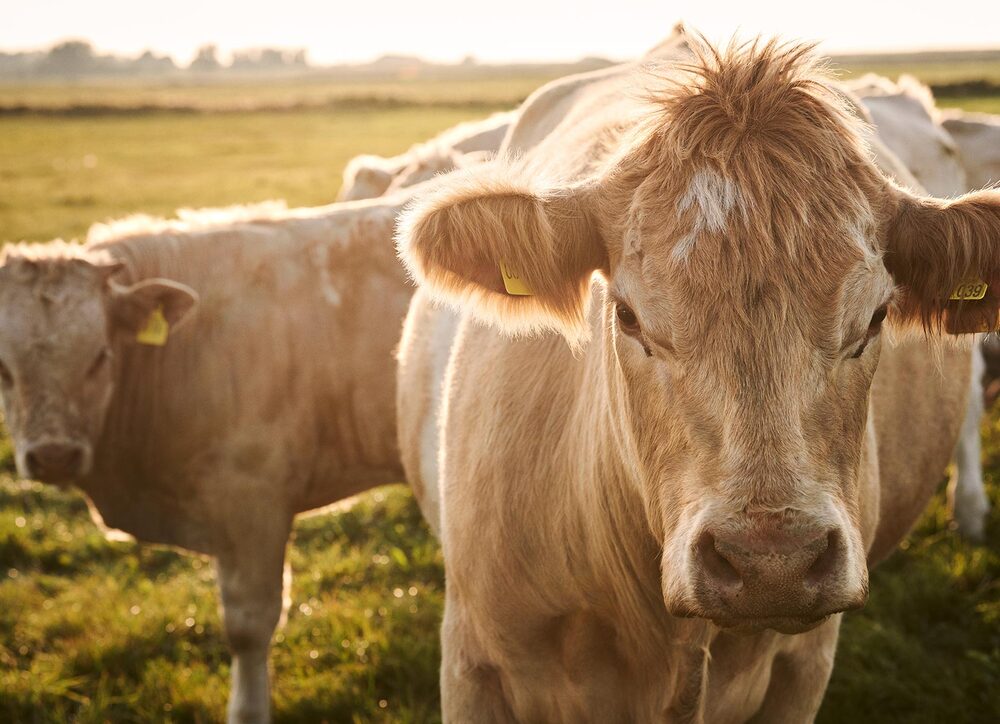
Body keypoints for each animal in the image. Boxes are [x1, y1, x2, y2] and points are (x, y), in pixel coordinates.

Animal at [0, 194, 414, 724]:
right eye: (3, 368)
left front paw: (247, 710)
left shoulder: (253, 500)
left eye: (100, 356)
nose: (54, 456)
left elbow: (248, 626)